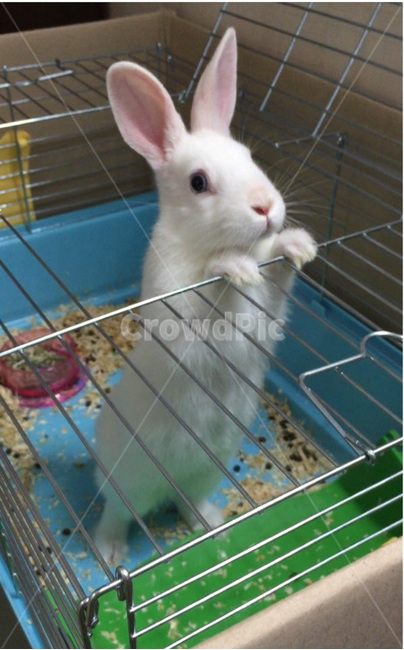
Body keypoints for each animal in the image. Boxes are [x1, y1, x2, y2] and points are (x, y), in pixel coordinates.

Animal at [94, 28, 317, 565]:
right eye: (198, 183)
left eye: (251, 157)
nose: (267, 208)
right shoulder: (175, 304)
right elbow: (205, 295)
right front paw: (232, 268)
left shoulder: (269, 310)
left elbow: (275, 284)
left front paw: (297, 246)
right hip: (124, 482)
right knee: (117, 514)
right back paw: (109, 551)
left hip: (206, 471)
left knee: (186, 501)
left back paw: (212, 526)